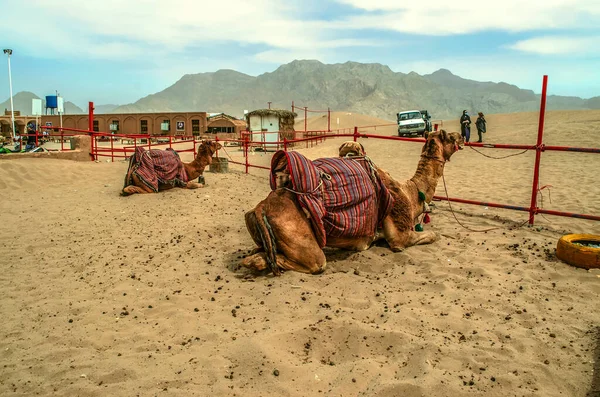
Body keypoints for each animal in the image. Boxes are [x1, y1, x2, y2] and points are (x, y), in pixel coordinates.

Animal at [239, 130, 464, 276]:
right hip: (308, 249)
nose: (462, 136)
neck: (411, 193)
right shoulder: (399, 238)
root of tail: (261, 207)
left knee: (257, 254)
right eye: (449, 136)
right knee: (314, 263)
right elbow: (432, 235)